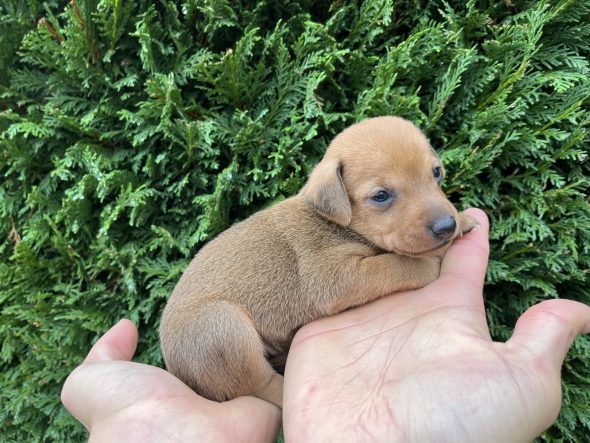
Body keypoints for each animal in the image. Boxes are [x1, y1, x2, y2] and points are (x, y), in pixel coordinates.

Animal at [160, 117, 478, 410]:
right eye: (380, 196)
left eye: (436, 172)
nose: (447, 226)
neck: (336, 223)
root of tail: (177, 371)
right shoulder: (335, 277)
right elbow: (394, 265)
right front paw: (428, 262)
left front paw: (462, 221)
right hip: (222, 326)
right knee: (261, 386)